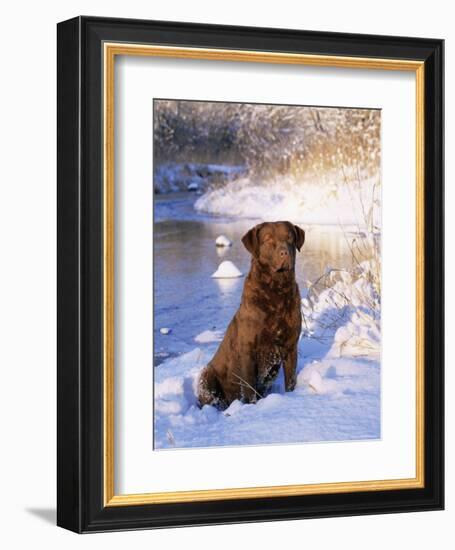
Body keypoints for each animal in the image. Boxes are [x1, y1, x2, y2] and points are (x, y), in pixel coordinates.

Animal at [198, 221, 304, 410]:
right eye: (268, 239)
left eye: (290, 237)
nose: (284, 252)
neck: (277, 293)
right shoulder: (248, 350)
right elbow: (249, 388)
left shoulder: (291, 346)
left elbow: (291, 381)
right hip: (206, 375)